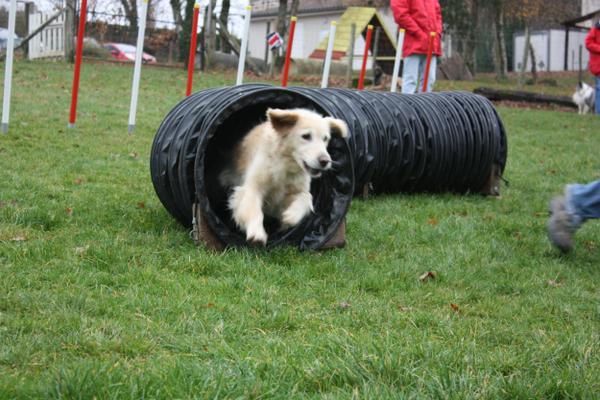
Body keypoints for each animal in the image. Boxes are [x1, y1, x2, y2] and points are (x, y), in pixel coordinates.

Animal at [219, 108, 352, 244]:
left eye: (325, 138)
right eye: (306, 136)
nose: (325, 161)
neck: (286, 164)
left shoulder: (293, 191)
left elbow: (306, 197)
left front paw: (291, 216)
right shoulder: (252, 187)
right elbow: (253, 210)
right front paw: (256, 233)